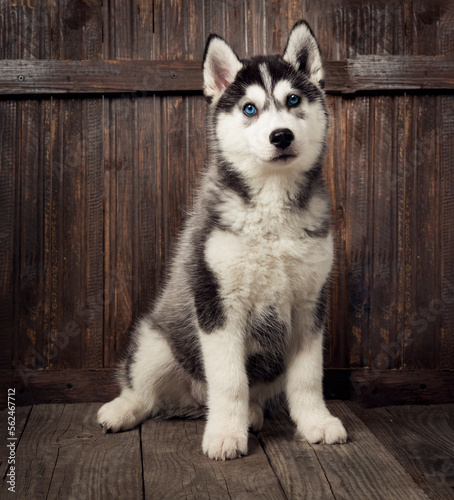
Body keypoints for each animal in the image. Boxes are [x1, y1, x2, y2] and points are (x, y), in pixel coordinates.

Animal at [97, 21, 348, 458]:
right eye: (249, 108)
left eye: (293, 99)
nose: (281, 135)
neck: (270, 203)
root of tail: (192, 400)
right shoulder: (216, 301)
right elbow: (229, 380)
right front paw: (225, 435)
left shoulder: (308, 306)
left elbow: (307, 377)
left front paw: (316, 422)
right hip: (155, 341)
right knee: (145, 391)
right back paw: (123, 410)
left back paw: (250, 415)